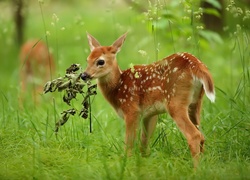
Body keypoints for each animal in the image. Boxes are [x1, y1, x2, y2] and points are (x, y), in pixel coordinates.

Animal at [81, 32, 215, 167]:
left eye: (100, 61)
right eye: (87, 59)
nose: (84, 75)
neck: (118, 87)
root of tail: (196, 65)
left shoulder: (132, 109)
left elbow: (129, 143)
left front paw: (126, 163)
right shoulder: (149, 114)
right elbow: (144, 142)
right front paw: (143, 162)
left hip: (175, 101)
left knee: (194, 135)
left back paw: (195, 169)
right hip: (196, 103)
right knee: (202, 135)